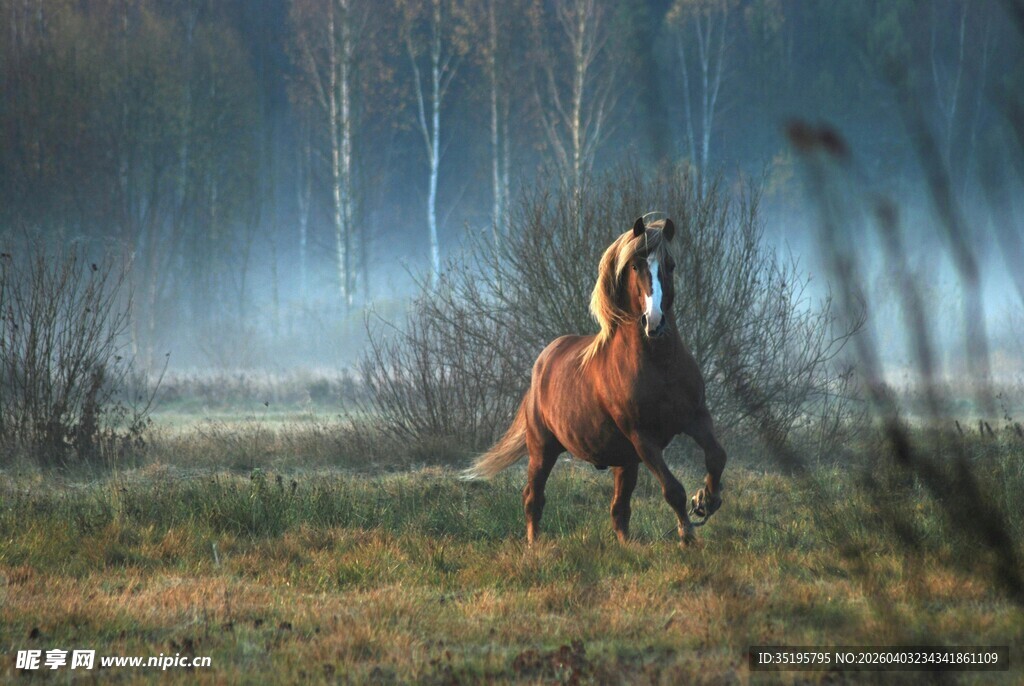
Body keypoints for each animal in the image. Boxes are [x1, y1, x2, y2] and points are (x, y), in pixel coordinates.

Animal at [462, 216, 726, 546]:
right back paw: (534, 545)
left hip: (624, 460)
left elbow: (717, 457)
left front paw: (706, 500)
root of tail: (542, 364)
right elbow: (672, 489)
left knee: (619, 509)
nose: (654, 322)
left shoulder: (695, 417)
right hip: (543, 448)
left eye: (671, 265)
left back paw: (628, 546)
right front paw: (687, 534)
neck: (660, 365)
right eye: (635, 266)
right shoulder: (643, 437)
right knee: (533, 498)